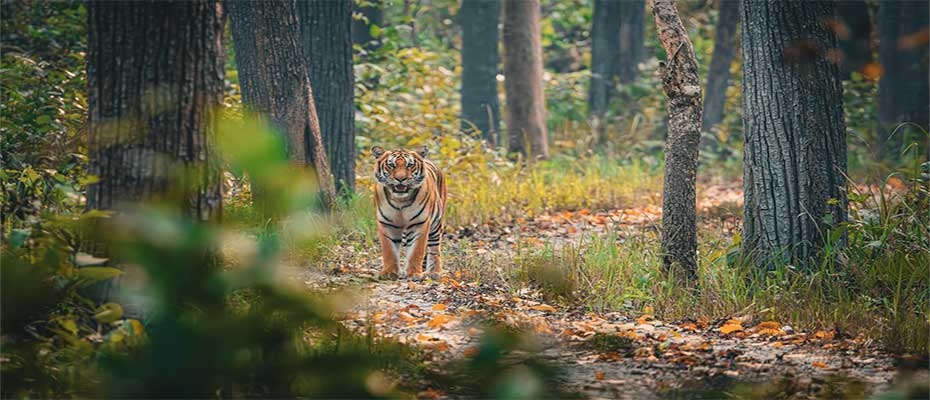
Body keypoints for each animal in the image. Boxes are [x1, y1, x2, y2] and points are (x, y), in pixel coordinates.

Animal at [370, 145, 446, 280]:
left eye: (410, 165)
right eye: (391, 165)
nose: (400, 179)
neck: (400, 200)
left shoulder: (419, 223)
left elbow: (416, 250)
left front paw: (413, 274)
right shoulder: (387, 223)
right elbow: (389, 250)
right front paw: (389, 273)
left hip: (436, 225)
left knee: (434, 248)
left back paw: (434, 272)